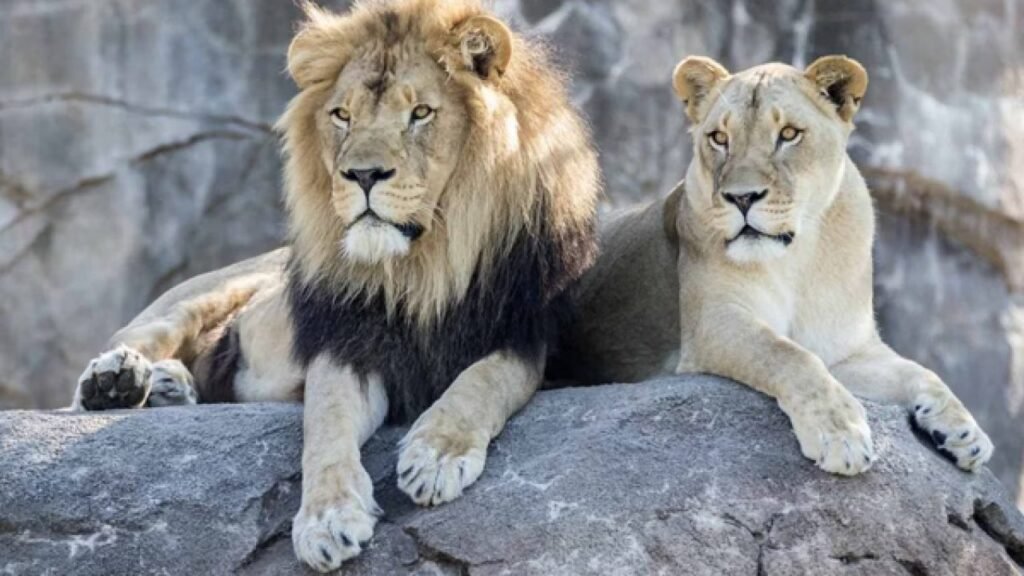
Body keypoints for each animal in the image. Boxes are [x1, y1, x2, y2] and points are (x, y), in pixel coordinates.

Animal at [70, 1, 599, 571]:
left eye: (420, 113)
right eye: (342, 115)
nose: (362, 175)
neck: (422, 267)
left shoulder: (523, 335)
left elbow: (483, 382)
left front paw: (436, 455)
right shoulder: (346, 343)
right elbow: (325, 425)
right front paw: (326, 520)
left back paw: (169, 386)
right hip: (202, 295)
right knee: (133, 344)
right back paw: (117, 381)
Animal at [555, 55, 994, 476]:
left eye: (789, 134)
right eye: (719, 138)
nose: (742, 197)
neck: (799, 258)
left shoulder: (847, 350)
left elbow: (920, 372)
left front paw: (964, 431)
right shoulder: (713, 323)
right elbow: (788, 355)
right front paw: (840, 434)